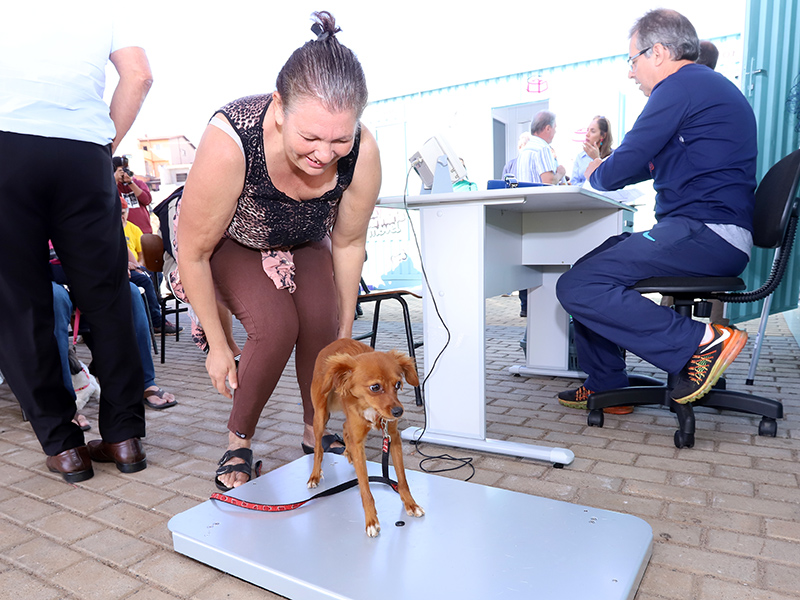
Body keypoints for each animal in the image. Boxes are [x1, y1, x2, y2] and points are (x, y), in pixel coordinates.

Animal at [306, 338, 424, 540]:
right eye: (375, 387)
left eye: (398, 384)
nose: (398, 411)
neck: (369, 407)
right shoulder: (359, 441)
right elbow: (365, 489)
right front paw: (371, 521)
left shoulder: (393, 437)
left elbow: (402, 479)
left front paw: (411, 504)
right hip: (320, 415)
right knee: (318, 447)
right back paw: (315, 474)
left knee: (345, 428)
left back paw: (348, 453)